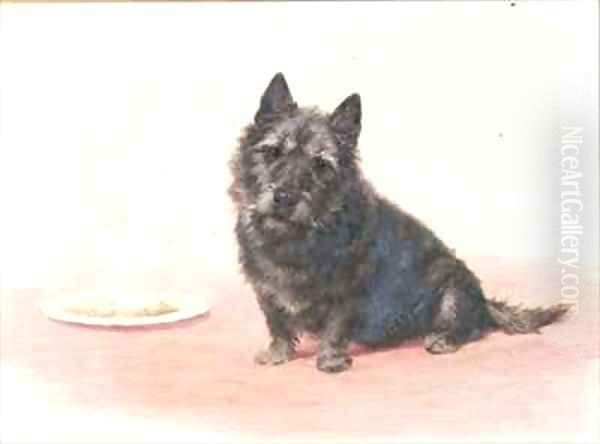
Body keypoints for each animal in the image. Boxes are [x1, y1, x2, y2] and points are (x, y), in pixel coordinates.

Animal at [227, 74, 568, 372]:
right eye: (272, 152)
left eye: (321, 165)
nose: (284, 197)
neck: (293, 237)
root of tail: (485, 302)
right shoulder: (265, 291)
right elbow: (278, 324)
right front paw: (278, 354)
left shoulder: (347, 292)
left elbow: (335, 328)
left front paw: (330, 361)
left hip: (453, 291)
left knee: (472, 327)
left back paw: (445, 339)